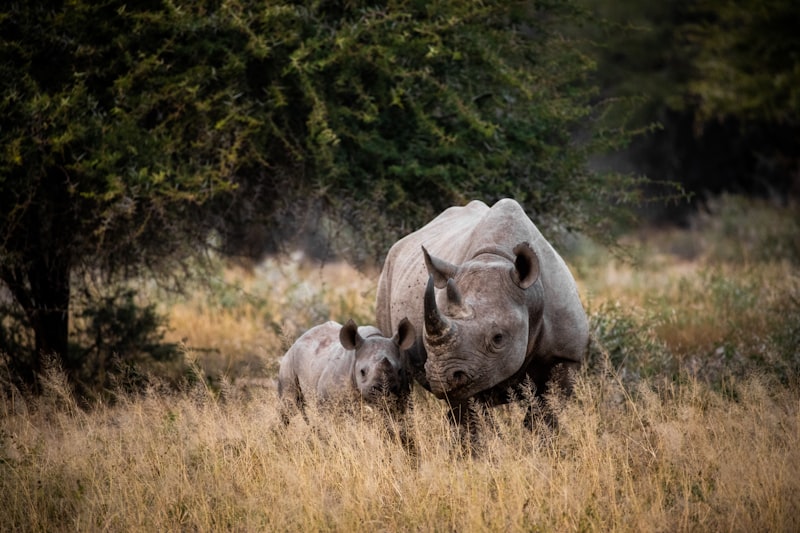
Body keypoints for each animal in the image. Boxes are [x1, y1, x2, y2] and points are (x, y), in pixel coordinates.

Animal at [278, 318, 415, 420]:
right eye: (362, 372)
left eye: (399, 371)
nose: (383, 391)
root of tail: (298, 339)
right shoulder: (327, 401)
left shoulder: (403, 397)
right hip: (288, 361)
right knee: (289, 407)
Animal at [376, 199, 589, 429]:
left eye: (498, 338)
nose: (441, 377)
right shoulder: (469, 367)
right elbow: (473, 420)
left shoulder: (565, 355)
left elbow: (546, 414)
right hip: (386, 276)